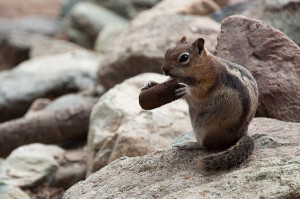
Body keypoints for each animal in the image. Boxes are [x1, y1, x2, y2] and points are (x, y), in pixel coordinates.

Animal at [143, 35, 258, 173]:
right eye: (168, 51)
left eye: (184, 57)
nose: (164, 69)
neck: (202, 64)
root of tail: (241, 135)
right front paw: (151, 83)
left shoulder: (209, 80)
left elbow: (199, 91)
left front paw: (186, 89)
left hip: (204, 127)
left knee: (206, 146)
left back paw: (189, 145)